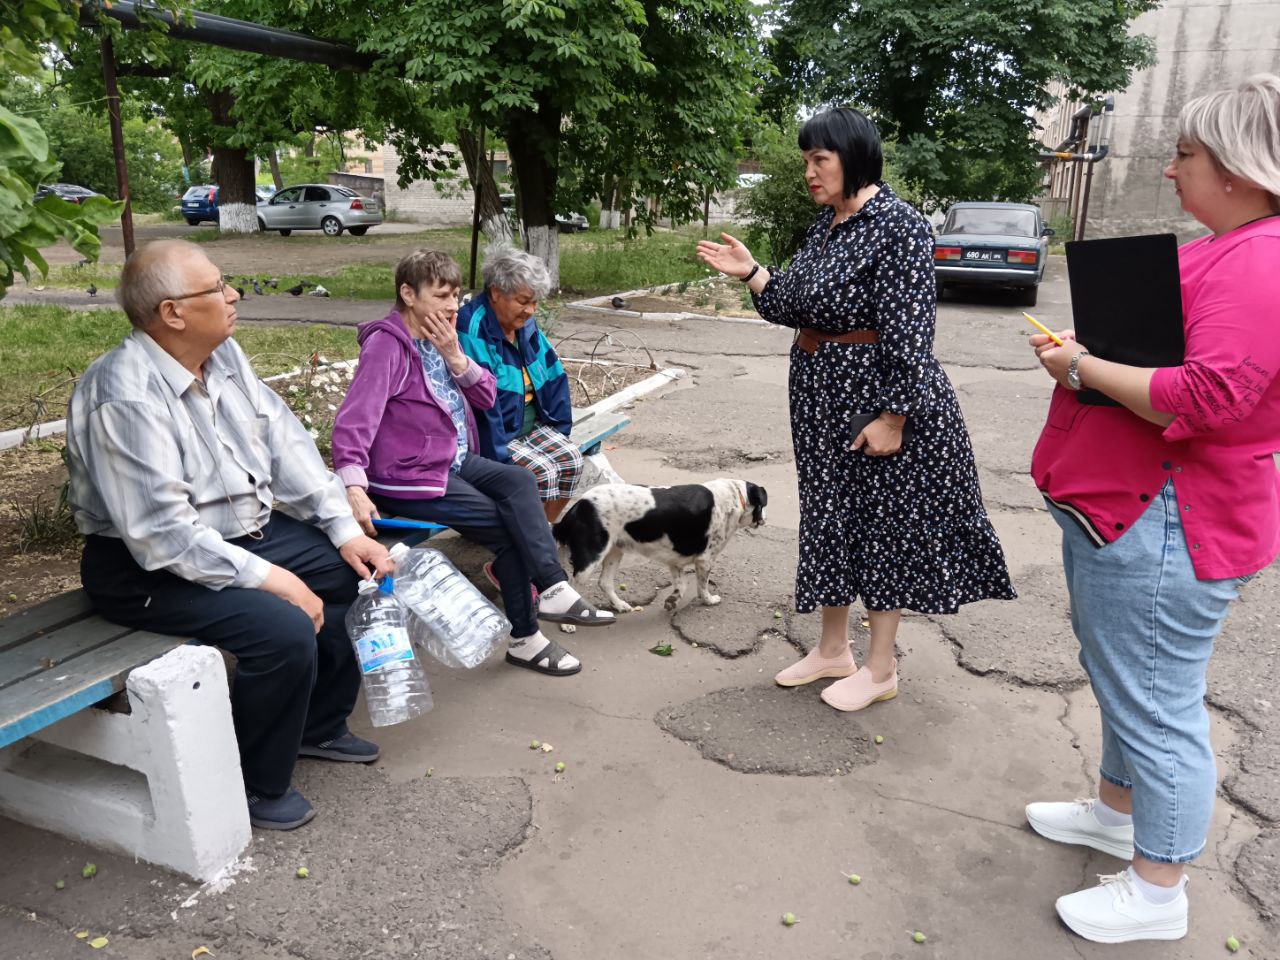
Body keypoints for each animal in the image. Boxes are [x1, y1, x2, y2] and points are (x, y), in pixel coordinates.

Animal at [552, 481, 768, 616]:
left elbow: (681, 585)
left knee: (604, 582)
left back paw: (620, 605)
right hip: (591, 557)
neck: (735, 496)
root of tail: (578, 507)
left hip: (614, 551)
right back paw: (568, 623)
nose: (765, 519)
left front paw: (672, 600)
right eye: (762, 506)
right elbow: (702, 586)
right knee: (573, 585)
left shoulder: (676, 559)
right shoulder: (705, 560)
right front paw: (709, 600)